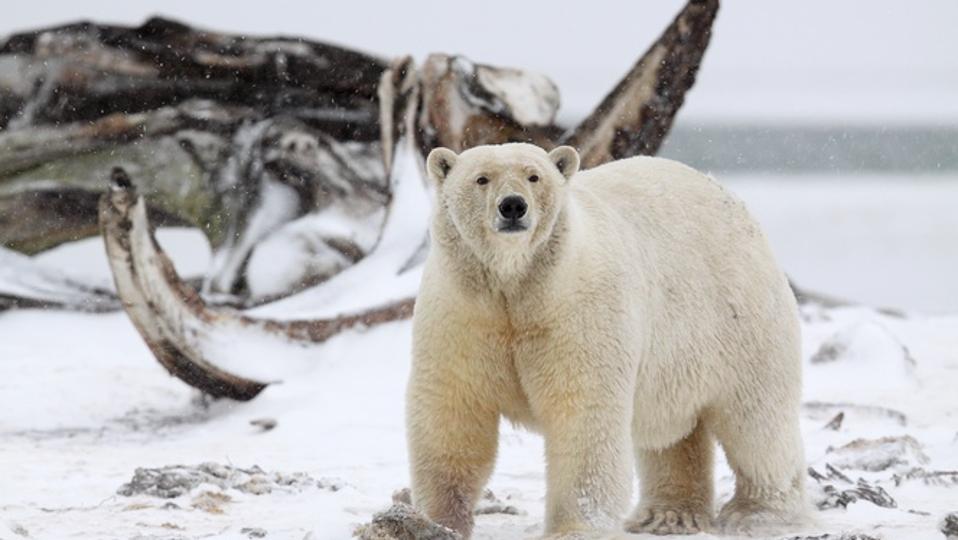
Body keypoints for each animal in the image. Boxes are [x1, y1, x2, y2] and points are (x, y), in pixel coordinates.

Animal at [408, 142, 808, 536]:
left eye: (534, 176)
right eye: (482, 178)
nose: (513, 206)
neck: (519, 286)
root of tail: (732, 199)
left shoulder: (578, 312)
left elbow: (584, 415)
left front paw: (576, 528)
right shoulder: (465, 317)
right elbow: (453, 413)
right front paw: (438, 521)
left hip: (737, 318)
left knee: (756, 419)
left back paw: (759, 513)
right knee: (672, 432)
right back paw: (667, 515)